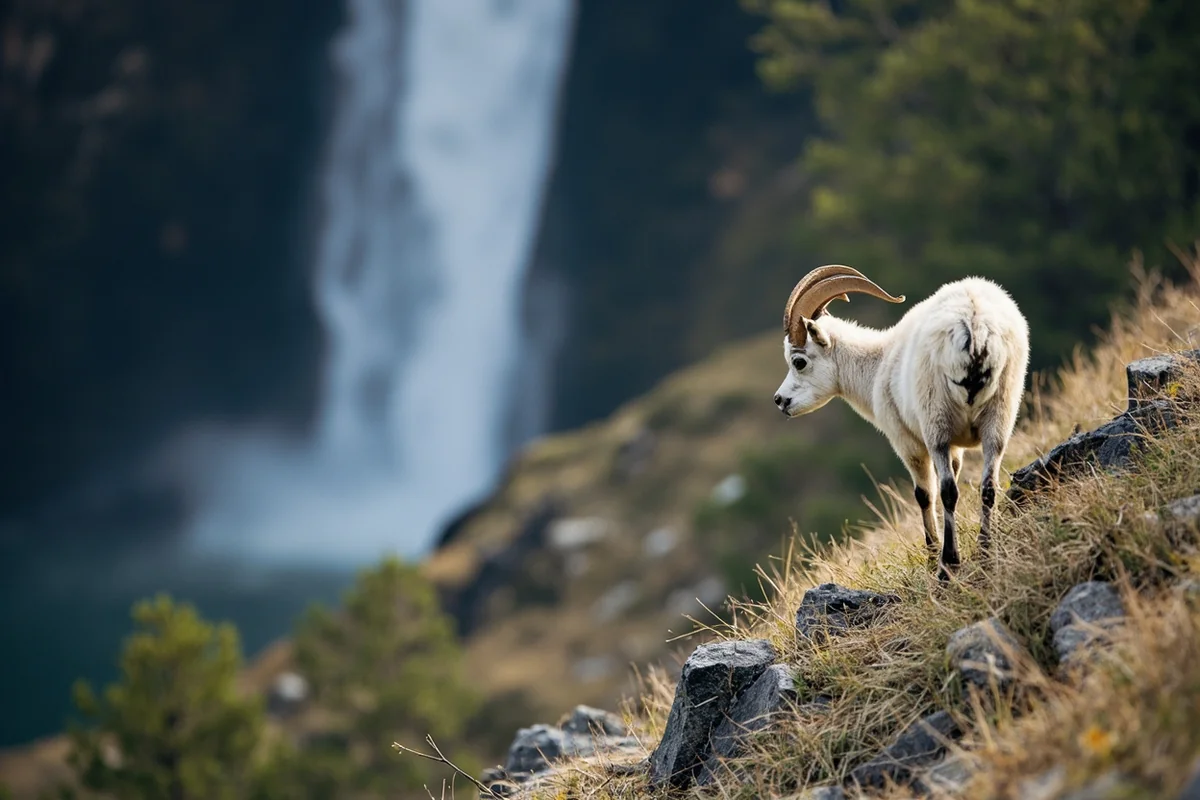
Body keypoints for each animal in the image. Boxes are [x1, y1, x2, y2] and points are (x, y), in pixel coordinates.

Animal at [773, 265, 1030, 576]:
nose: (780, 400)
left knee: (948, 491)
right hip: (1000, 415)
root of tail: (974, 322)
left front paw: (932, 555)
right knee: (988, 486)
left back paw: (948, 565)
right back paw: (985, 553)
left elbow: (924, 493)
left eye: (799, 361)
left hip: (935, 423)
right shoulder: (956, 447)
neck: (877, 362)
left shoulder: (908, 441)